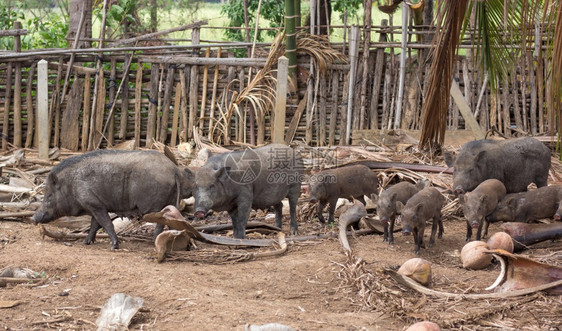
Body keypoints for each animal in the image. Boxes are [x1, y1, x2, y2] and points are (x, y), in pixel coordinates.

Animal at [33, 150, 195, 249]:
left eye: (49, 196)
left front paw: (114, 246)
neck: (71, 185)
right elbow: (94, 225)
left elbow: (106, 224)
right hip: (171, 200)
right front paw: (86, 243)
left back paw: (154, 240)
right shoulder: (95, 206)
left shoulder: (94, 204)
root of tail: (174, 170)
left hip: (155, 204)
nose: (33, 218)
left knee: (160, 221)